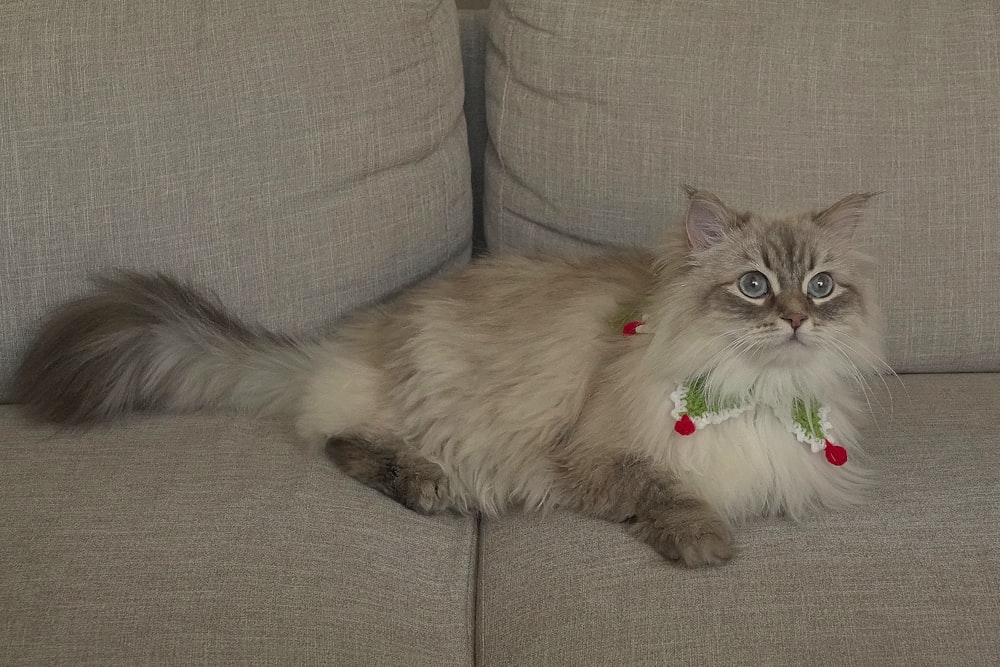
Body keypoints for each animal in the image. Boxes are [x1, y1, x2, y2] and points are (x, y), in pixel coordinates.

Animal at [9, 189, 884, 568]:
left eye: (821, 287)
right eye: (754, 286)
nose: (796, 319)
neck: (751, 392)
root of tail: (352, 335)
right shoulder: (593, 457)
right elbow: (670, 492)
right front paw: (706, 542)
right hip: (432, 410)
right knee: (345, 444)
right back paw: (427, 487)